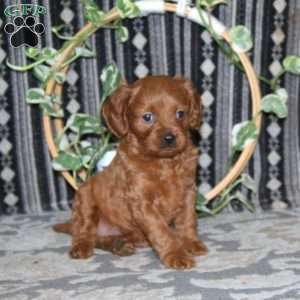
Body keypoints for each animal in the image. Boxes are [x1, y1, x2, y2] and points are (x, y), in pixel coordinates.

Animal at [54, 75, 207, 270]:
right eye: (147, 117)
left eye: (180, 113)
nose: (170, 138)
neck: (164, 162)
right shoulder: (142, 201)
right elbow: (161, 230)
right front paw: (176, 254)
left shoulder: (187, 192)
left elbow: (187, 221)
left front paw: (191, 243)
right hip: (85, 197)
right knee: (85, 230)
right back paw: (82, 246)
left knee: (105, 238)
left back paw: (120, 244)